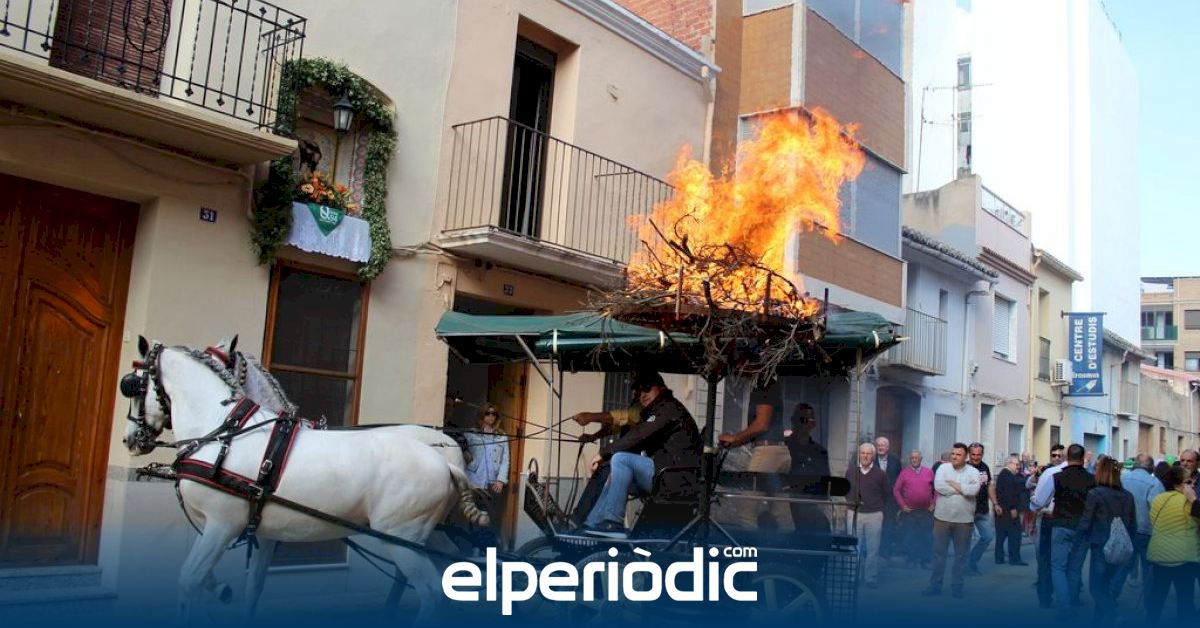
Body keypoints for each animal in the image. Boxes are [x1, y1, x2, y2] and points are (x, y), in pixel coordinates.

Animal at [120, 337, 486, 624]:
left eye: (132, 386)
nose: (130, 439)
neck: (224, 430)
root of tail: (446, 460)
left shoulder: (222, 523)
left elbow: (189, 580)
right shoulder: (259, 531)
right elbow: (248, 586)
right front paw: (224, 593)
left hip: (401, 536)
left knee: (433, 591)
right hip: (420, 536)